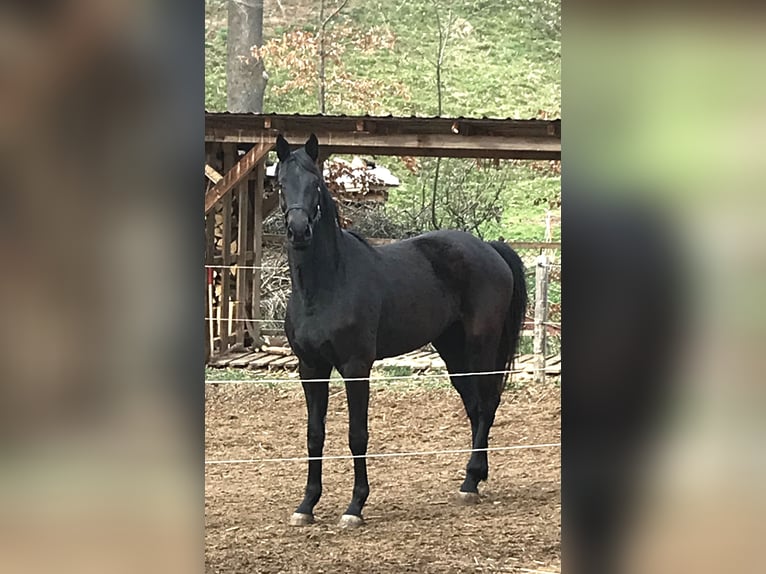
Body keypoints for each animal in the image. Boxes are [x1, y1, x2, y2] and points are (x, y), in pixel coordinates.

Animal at [276, 135, 528, 532]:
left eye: (315, 183)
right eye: (280, 184)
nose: (299, 231)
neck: (326, 285)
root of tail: (489, 248)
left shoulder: (355, 367)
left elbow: (357, 434)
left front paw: (354, 507)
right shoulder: (310, 368)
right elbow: (314, 435)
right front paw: (306, 505)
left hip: (481, 346)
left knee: (488, 403)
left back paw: (470, 483)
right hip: (452, 350)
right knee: (474, 406)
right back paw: (472, 479)